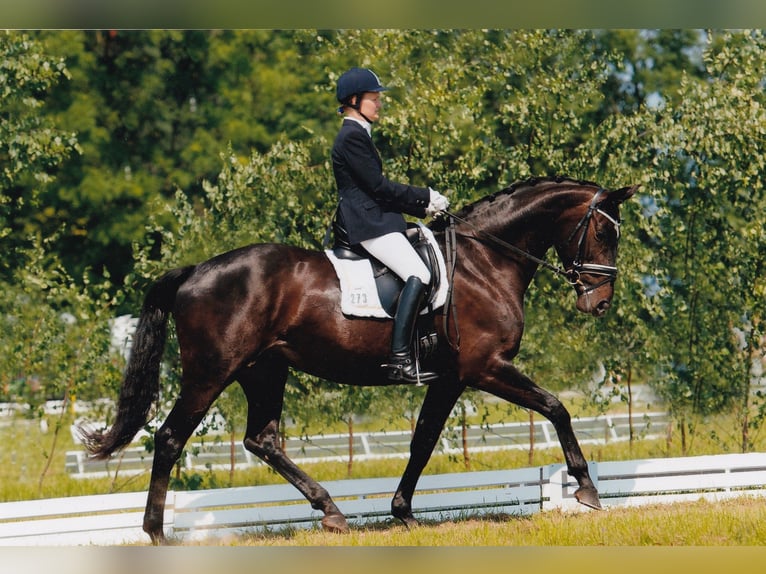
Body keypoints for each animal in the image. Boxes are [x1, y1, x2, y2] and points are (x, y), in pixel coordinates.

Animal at [81, 178, 640, 548]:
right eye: (604, 234)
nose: (600, 304)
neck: (484, 262)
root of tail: (196, 270)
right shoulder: (485, 367)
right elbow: (556, 408)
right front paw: (587, 488)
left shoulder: (451, 378)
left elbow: (423, 441)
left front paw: (402, 513)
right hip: (211, 372)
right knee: (170, 437)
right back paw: (156, 534)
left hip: (265, 370)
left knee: (262, 440)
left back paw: (330, 512)